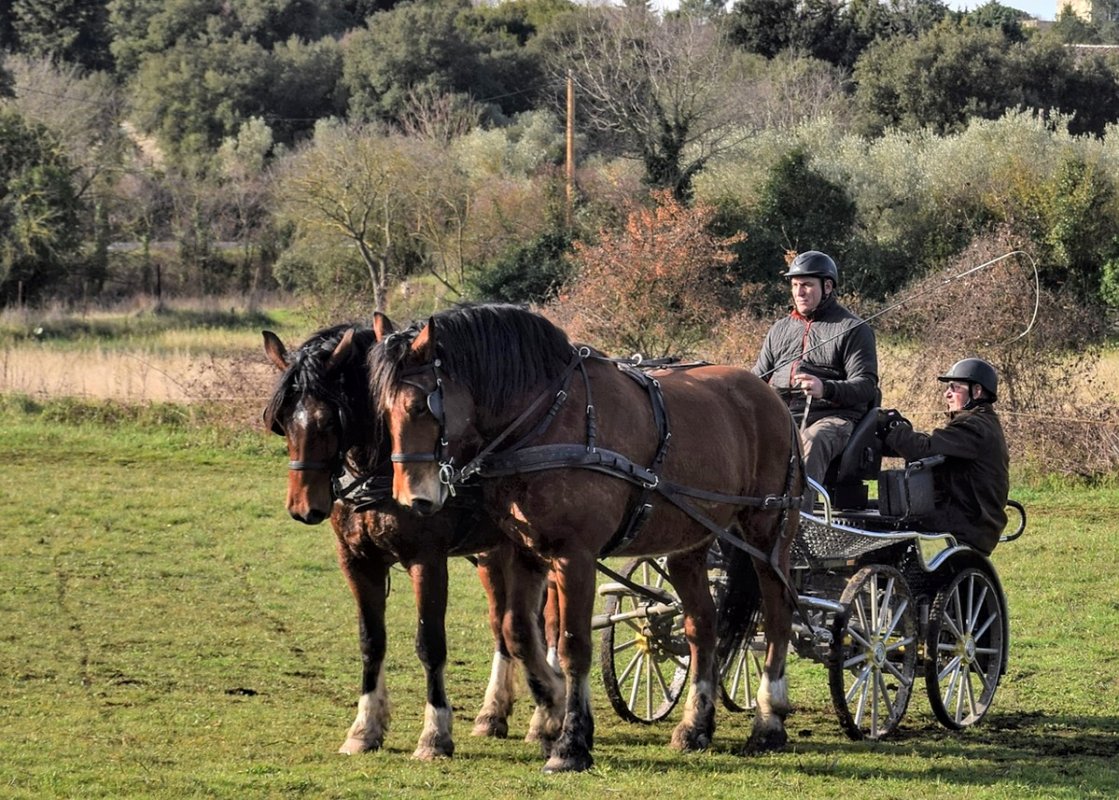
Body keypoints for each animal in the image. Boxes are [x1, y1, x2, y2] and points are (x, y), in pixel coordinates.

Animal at [261, 318, 565, 759]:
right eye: (282, 422)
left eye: (328, 421)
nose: (303, 507)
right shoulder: (357, 561)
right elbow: (371, 641)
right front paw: (364, 727)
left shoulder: (428, 560)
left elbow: (430, 644)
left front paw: (435, 734)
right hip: (495, 554)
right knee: (506, 626)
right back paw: (495, 712)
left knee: (552, 625)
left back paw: (547, 712)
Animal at [370, 303, 803, 773]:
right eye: (381, 411)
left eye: (418, 406)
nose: (411, 499)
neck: (548, 417)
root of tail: (771, 396)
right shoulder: (527, 552)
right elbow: (521, 633)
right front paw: (551, 715)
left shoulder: (574, 556)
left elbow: (572, 644)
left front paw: (570, 742)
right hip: (691, 544)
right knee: (702, 625)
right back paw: (695, 726)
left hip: (769, 534)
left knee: (778, 617)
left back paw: (769, 721)